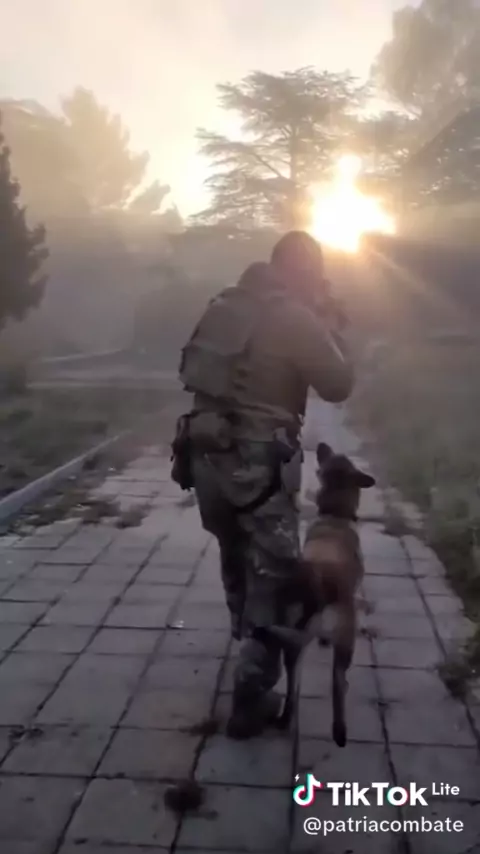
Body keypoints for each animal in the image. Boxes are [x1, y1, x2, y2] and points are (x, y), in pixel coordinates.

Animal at [253, 441, 375, 747]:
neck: (335, 515)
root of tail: (315, 584)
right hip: (343, 642)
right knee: (338, 683)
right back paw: (339, 730)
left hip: (290, 639)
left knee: (292, 685)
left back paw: (285, 718)